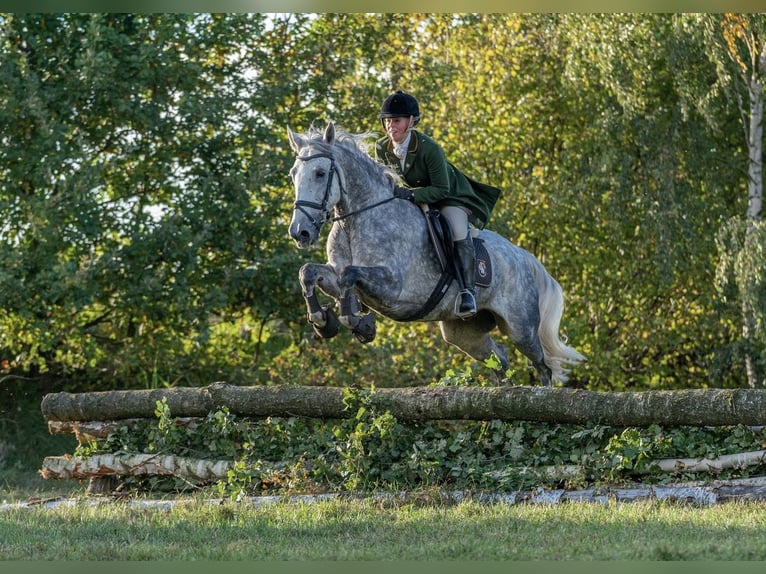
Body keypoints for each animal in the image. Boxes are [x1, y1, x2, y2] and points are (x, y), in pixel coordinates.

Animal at [286, 122, 585, 386]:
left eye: (320, 173)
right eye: (293, 174)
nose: (300, 232)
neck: (356, 220)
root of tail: (523, 257)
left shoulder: (393, 288)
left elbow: (349, 275)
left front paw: (356, 322)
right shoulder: (337, 273)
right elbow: (309, 272)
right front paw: (323, 320)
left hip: (521, 327)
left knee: (543, 366)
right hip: (464, 333)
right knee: (500, 360)